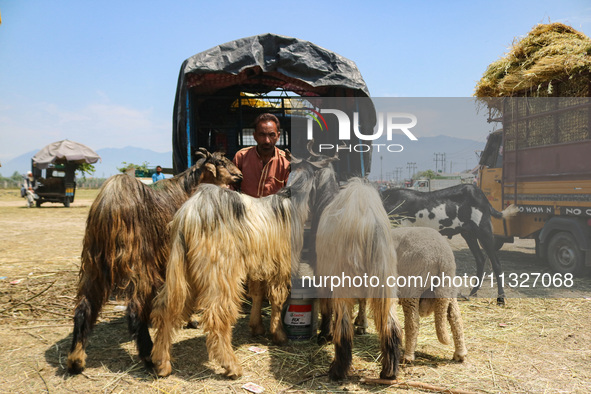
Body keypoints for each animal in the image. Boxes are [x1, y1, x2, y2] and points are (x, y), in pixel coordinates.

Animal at [68, 149, 244, 374]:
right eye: (221, 163)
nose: (239, 176)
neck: (186, 190)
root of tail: (110, 203)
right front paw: (191, 319)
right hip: (138, 262)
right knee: (134, 309)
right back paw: (150, 357)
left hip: (93, 262)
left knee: (84, 306)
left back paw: (76, 359)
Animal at [150, 148, 340, 378]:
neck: (291, 202)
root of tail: (189, 214)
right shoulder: (281, 263)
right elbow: (277, 297)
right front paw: (278, 335)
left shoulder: (258, 265)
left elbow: (258, 293)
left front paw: (257, 328)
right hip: (219, 269)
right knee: (216, 313)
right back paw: (231, 366)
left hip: (182, 268)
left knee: (166, 307)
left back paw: (162, 363)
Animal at [316, 179, 404, 382]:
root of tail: (369, 220)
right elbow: (363, 301)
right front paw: (362, 324)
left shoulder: (323, 272)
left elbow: (325, 307)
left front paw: (324, 334)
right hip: (385, 274)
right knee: (391, 323)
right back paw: (389, 371)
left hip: (343, 277)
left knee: (343, 325)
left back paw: (337, 371)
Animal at [384, 183, 520, 306]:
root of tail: (481, 196)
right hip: (468, 234)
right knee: (480, 259)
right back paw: (473, 293)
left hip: (483, 230)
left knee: (496, 263)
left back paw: (500, 299)